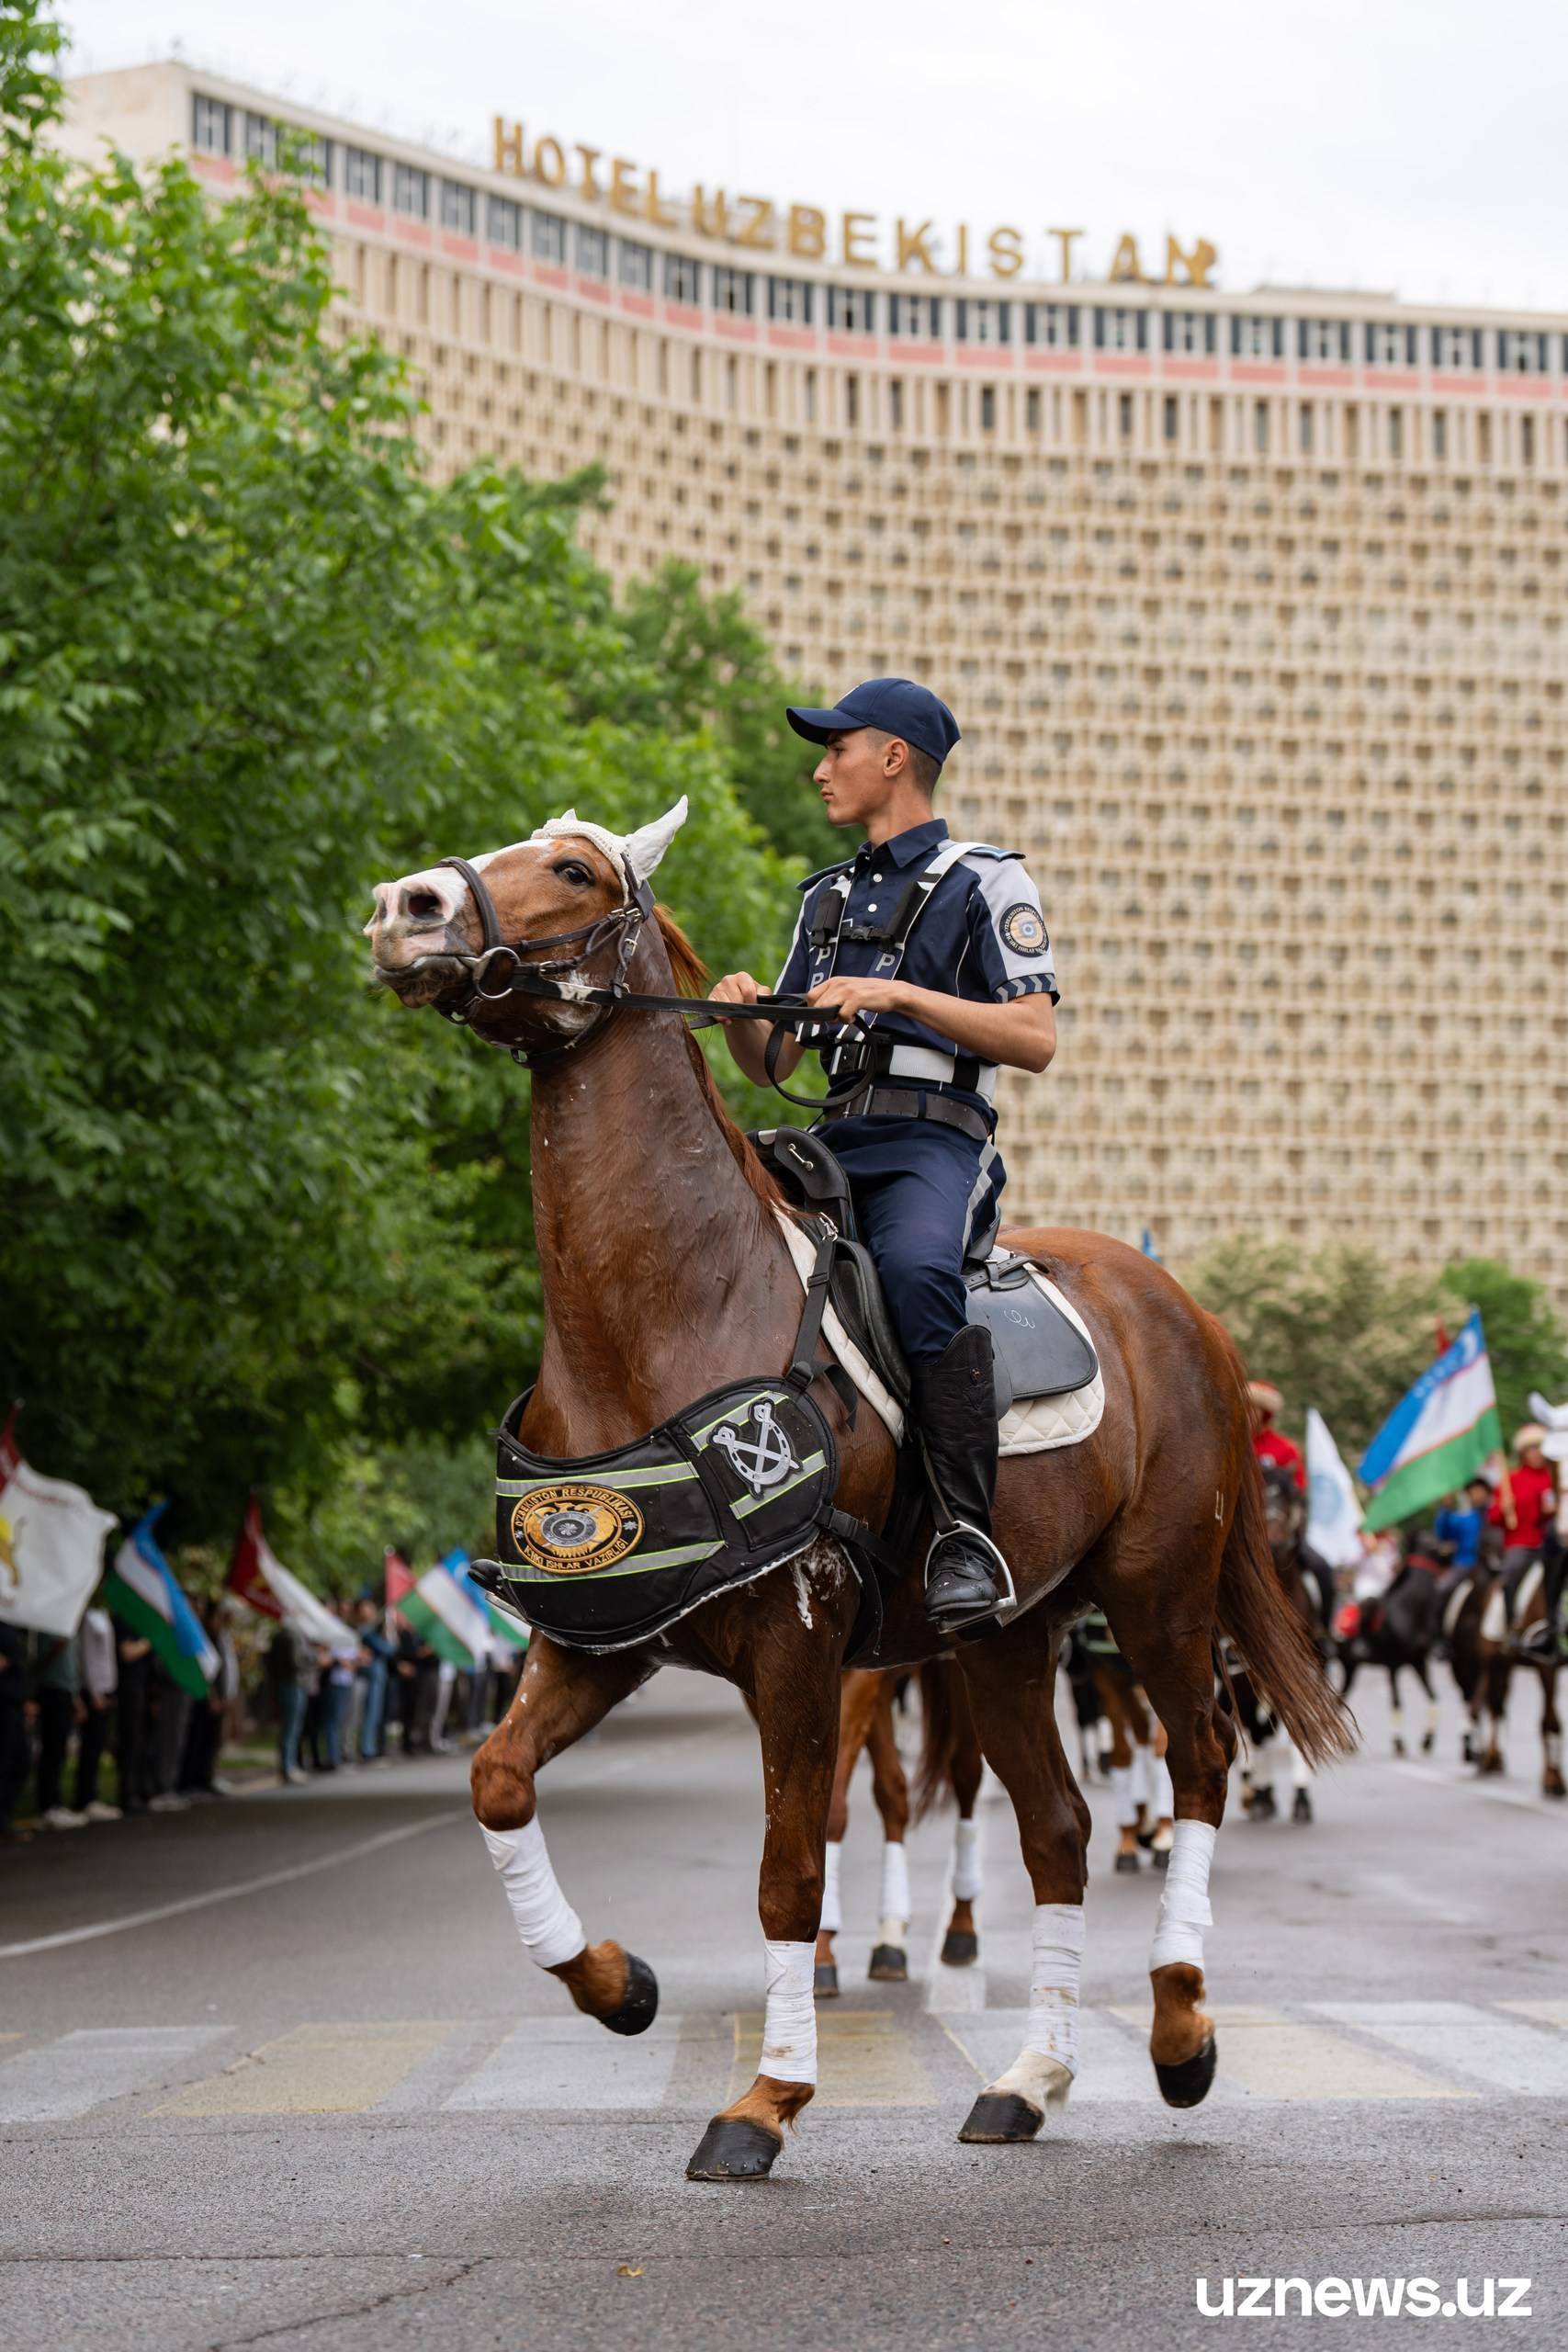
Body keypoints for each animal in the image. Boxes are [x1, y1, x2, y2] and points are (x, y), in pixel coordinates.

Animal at [364, 818, 1354, 2173]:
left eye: (571, 869)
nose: (401, 908)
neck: (663, 1311)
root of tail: (1182, 1309)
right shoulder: (604, 1634)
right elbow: (497, 1781)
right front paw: (617, 1985)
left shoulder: (799, 1643)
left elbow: (788, 1863)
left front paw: (765, 2098)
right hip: (1003, 1642)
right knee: (1055, 1828)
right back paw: (1028, 2078)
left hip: (1156, 1597)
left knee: (1197, 1759)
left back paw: (1178, 2030)